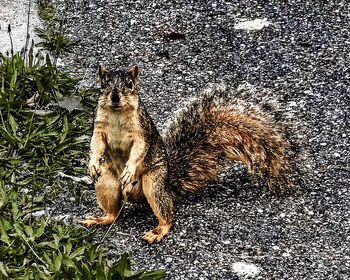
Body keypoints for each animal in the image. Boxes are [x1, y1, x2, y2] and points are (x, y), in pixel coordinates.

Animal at [80, 65, 304, 243]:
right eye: (103, 84)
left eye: (129, 84)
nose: (115, 96)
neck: (117, 113)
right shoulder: (99, 127)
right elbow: (96, 144)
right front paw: (92, 163)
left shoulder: (142, 130)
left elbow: (139, 149)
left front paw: (129, 169)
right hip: (106, 181)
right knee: (113, 213)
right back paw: (100, 218)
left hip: (153, 182)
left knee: (167, 214)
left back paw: (158, 230)